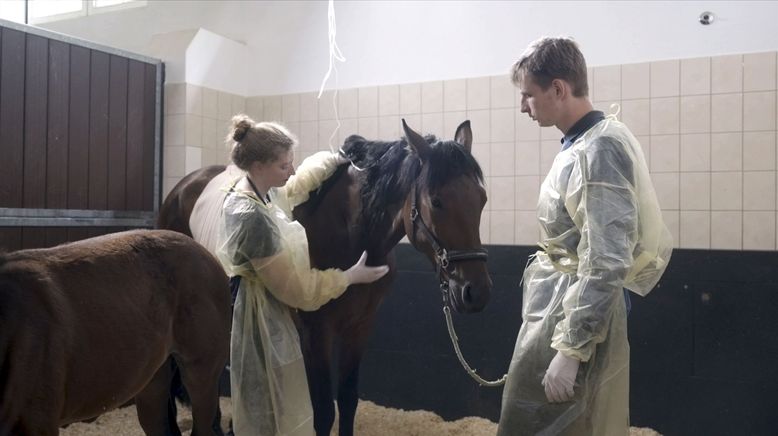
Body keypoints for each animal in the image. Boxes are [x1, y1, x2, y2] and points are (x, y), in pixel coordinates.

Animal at [158, 121, 492, 436]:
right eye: (436, 201)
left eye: (482, 199)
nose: (476, 292)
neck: (351, 234)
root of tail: (183, 187)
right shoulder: (316, 332)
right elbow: (322, 411)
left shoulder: (359, 327)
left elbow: (347, 399)